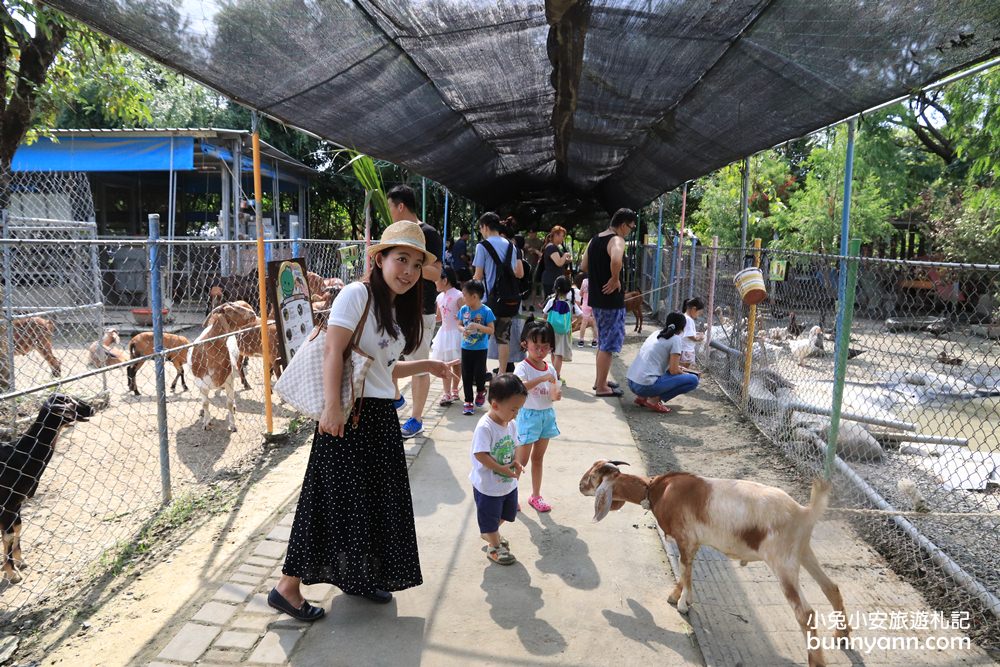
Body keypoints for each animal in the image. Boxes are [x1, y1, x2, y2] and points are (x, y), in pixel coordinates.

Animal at [0, 394, 94, 580]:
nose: (91, 409)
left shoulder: (17, 502)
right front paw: (12, 573)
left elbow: (18, 527)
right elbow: (8, 535)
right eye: (68, 402)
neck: (20, 454)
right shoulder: (7, 503)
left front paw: (19, 561)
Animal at [188, 302, 258, 434]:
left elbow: (229, 403)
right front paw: (206, 423)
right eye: (231, 310)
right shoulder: (201, 384)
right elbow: (205, 403)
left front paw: (233, 425)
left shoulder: (229, 380)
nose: (253, 313)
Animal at [584, 460, 848, 667]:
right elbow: (686, 571)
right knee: (831, 587)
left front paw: (683, 604)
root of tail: (804, 512)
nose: (580, 485)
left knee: (806, 612)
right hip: (802, 551)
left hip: (783, 562)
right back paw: (842, 633)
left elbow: (685, 570)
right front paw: (676, 596)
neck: (657, 490)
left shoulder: (685, 539)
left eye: (593, 475)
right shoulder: (693, 543)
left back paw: (817, 661)